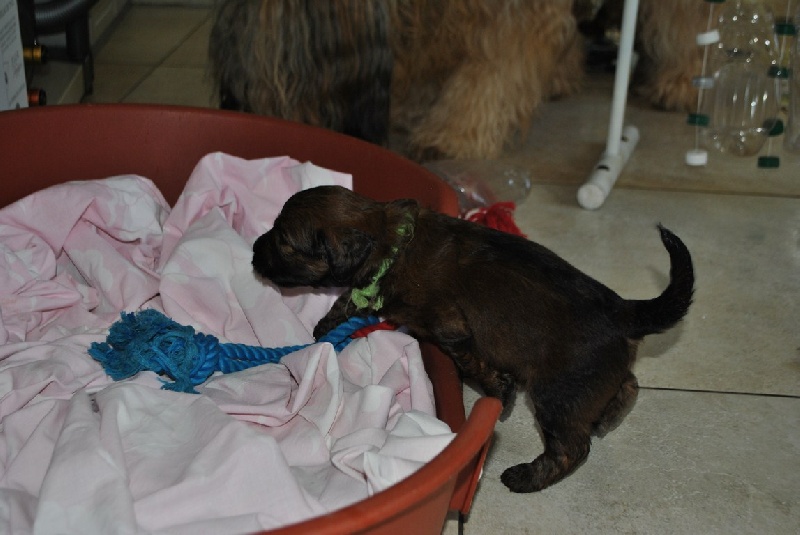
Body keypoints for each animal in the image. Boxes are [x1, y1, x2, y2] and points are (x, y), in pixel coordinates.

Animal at [251, 186, 695, 492]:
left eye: (284, 241)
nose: (254, 252)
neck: (389, 240)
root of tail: (624, 310)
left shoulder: (449, 326)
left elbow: (472, 361)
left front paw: (499, 392)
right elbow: (348, 300)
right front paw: (325, 327)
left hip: (557, 393)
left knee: (572, 448)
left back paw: (527, 477)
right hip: (592, 380)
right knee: (629, 385)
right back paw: (609, 416)